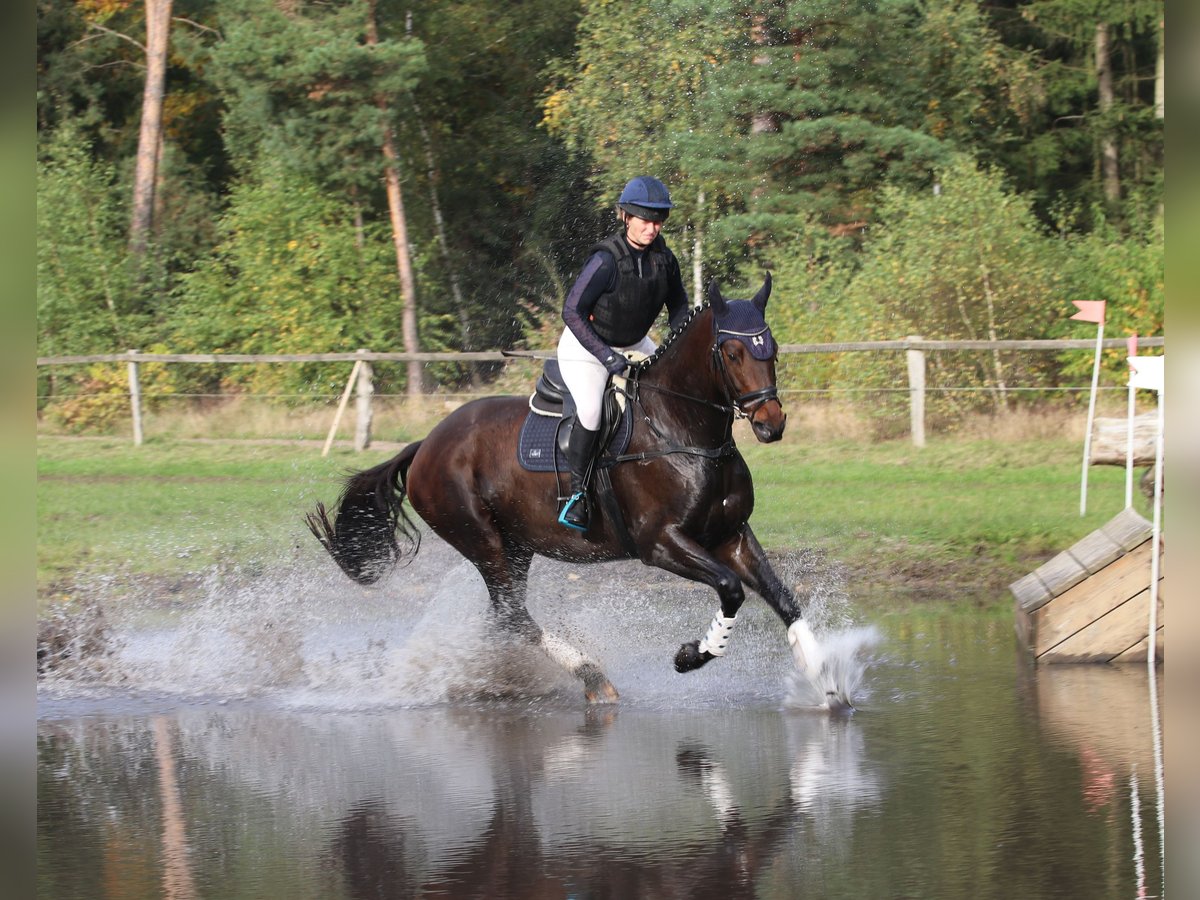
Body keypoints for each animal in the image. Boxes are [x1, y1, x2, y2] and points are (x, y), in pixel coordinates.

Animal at [304, 274, 830, 705]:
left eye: (772, 347)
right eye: (733, 352)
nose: (771, 424)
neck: (682, 431)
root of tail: (426, 446)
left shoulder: (731, 534)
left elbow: (782, 598)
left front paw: (824, 680)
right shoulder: (660, 543)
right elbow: (730, 589)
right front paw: (690, 656)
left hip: (516, 546)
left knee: (504, 617)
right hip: (481, 539)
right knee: (513, 616)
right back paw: (590, 675)